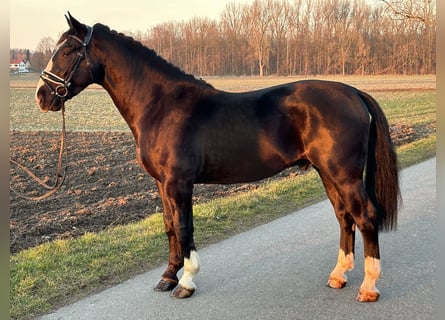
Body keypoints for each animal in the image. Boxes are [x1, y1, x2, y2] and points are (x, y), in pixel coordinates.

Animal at [33, 13, 398, 302]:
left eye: (68, 50)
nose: (42, 96)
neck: (160, 105)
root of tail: (353, 92)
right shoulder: (162, 184)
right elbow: (169, 227)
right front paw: (167, 278)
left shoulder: (179, 183)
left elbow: (184, 227)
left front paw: (186, 282)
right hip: (327, 173)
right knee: (344, 217)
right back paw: (339, 275)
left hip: (344, 175)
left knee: (365, 217)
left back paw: (368, 286)